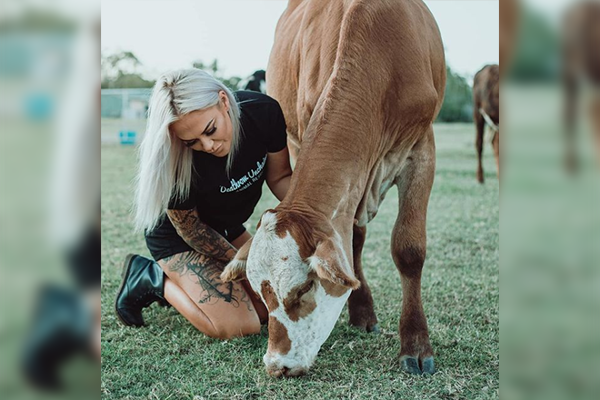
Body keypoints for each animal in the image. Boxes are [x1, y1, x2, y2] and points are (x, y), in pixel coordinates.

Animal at [220, 0, 446, 376]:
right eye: (261, 293)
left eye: (304, 288)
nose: (276, 364)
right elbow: (352, 241)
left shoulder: (422, 148)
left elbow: (409, 249)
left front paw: (415, 344)